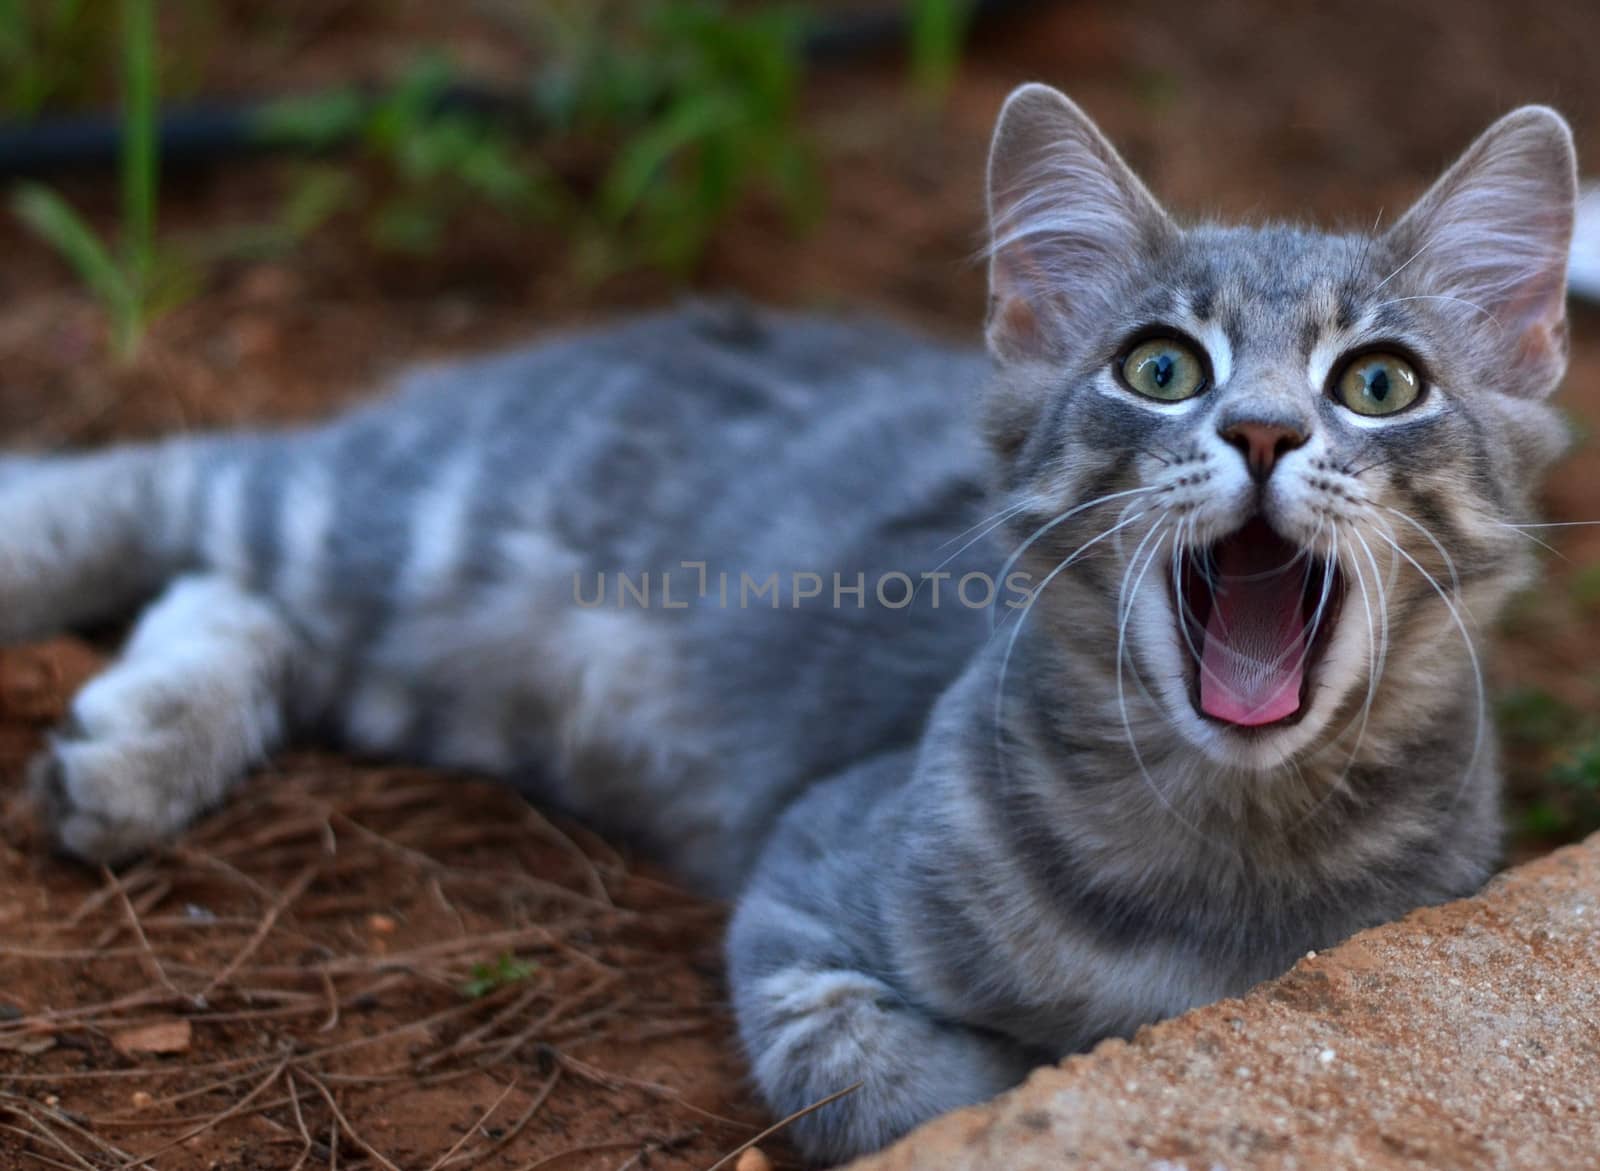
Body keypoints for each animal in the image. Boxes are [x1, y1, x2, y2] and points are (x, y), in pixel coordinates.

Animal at [12, 84, 1580, 1164]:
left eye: (1378, 382)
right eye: (1159, 367)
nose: (1258, 429)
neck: (1228, 855)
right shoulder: (801, 897)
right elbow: (909, 1085)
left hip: (429, 655)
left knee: (231, 593)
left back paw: (134, 738)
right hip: (410, 515)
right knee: (181, 480)